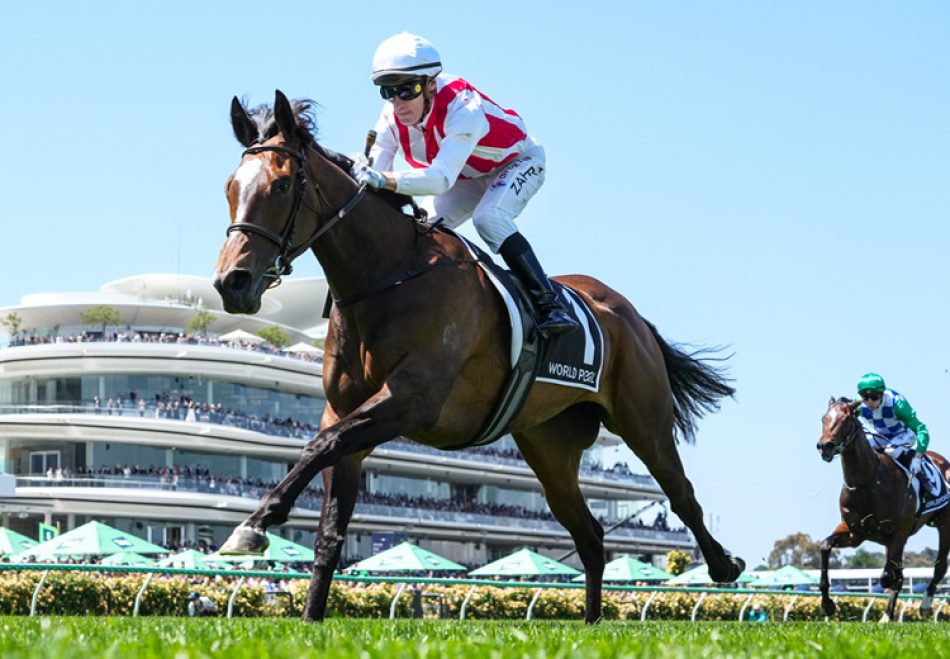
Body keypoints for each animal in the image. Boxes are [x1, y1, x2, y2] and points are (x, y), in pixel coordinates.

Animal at [212, 90, 745, 623]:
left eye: (282, 185)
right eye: (230, 187)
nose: (232, 282)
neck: (387, 277)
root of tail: (629, 314)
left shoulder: (411, 400)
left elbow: (318, 446)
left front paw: (254, 525)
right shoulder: (344, 412)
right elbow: (328, 519)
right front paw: (310, 615)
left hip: (643, 422)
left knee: (682, 495)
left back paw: (724, 565)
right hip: (549, 446)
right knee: (590, 537)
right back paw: (593, 621)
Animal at [817, 397, 950, 621]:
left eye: (846, 419)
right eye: (823, 419)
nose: (825, 446)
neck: (867, 483)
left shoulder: (899, 533)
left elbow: (889, 576)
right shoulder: (855, 534)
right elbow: (825, 547)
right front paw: (827, 605)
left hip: (943, 523)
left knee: (939, 567)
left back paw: (923, 605)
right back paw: (888, 615)